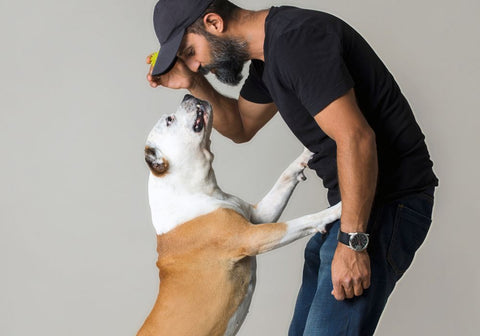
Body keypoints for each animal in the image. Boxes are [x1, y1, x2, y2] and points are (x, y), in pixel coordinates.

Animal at [137, 94, 344, 336]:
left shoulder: (261, 216)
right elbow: (304, 220)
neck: (194, 188)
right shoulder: (254, 236)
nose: (188, 95)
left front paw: (305, 154)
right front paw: (337, 208)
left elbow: (285, 177)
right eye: (169, 120)